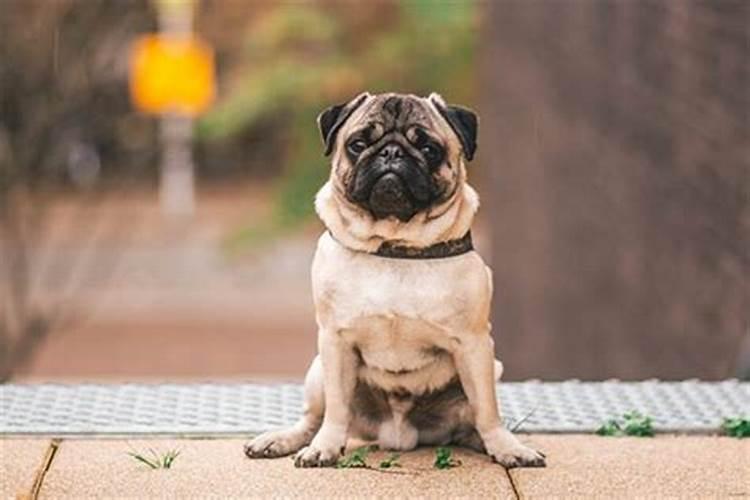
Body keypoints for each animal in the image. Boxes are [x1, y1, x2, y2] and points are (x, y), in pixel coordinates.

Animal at [247, 93, 548, 468]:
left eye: (429, 149)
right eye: (358, 145)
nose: (391, 152)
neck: (394, 246)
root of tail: (398, 434)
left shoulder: (474, 344)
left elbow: (488, 411)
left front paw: (506, 447)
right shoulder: (334, 341)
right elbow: (336, 409)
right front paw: (325, 447)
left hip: (490, 368)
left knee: (475, 421)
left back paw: (492, 442)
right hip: (317, 370)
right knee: (313, 418)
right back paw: (283, 440)